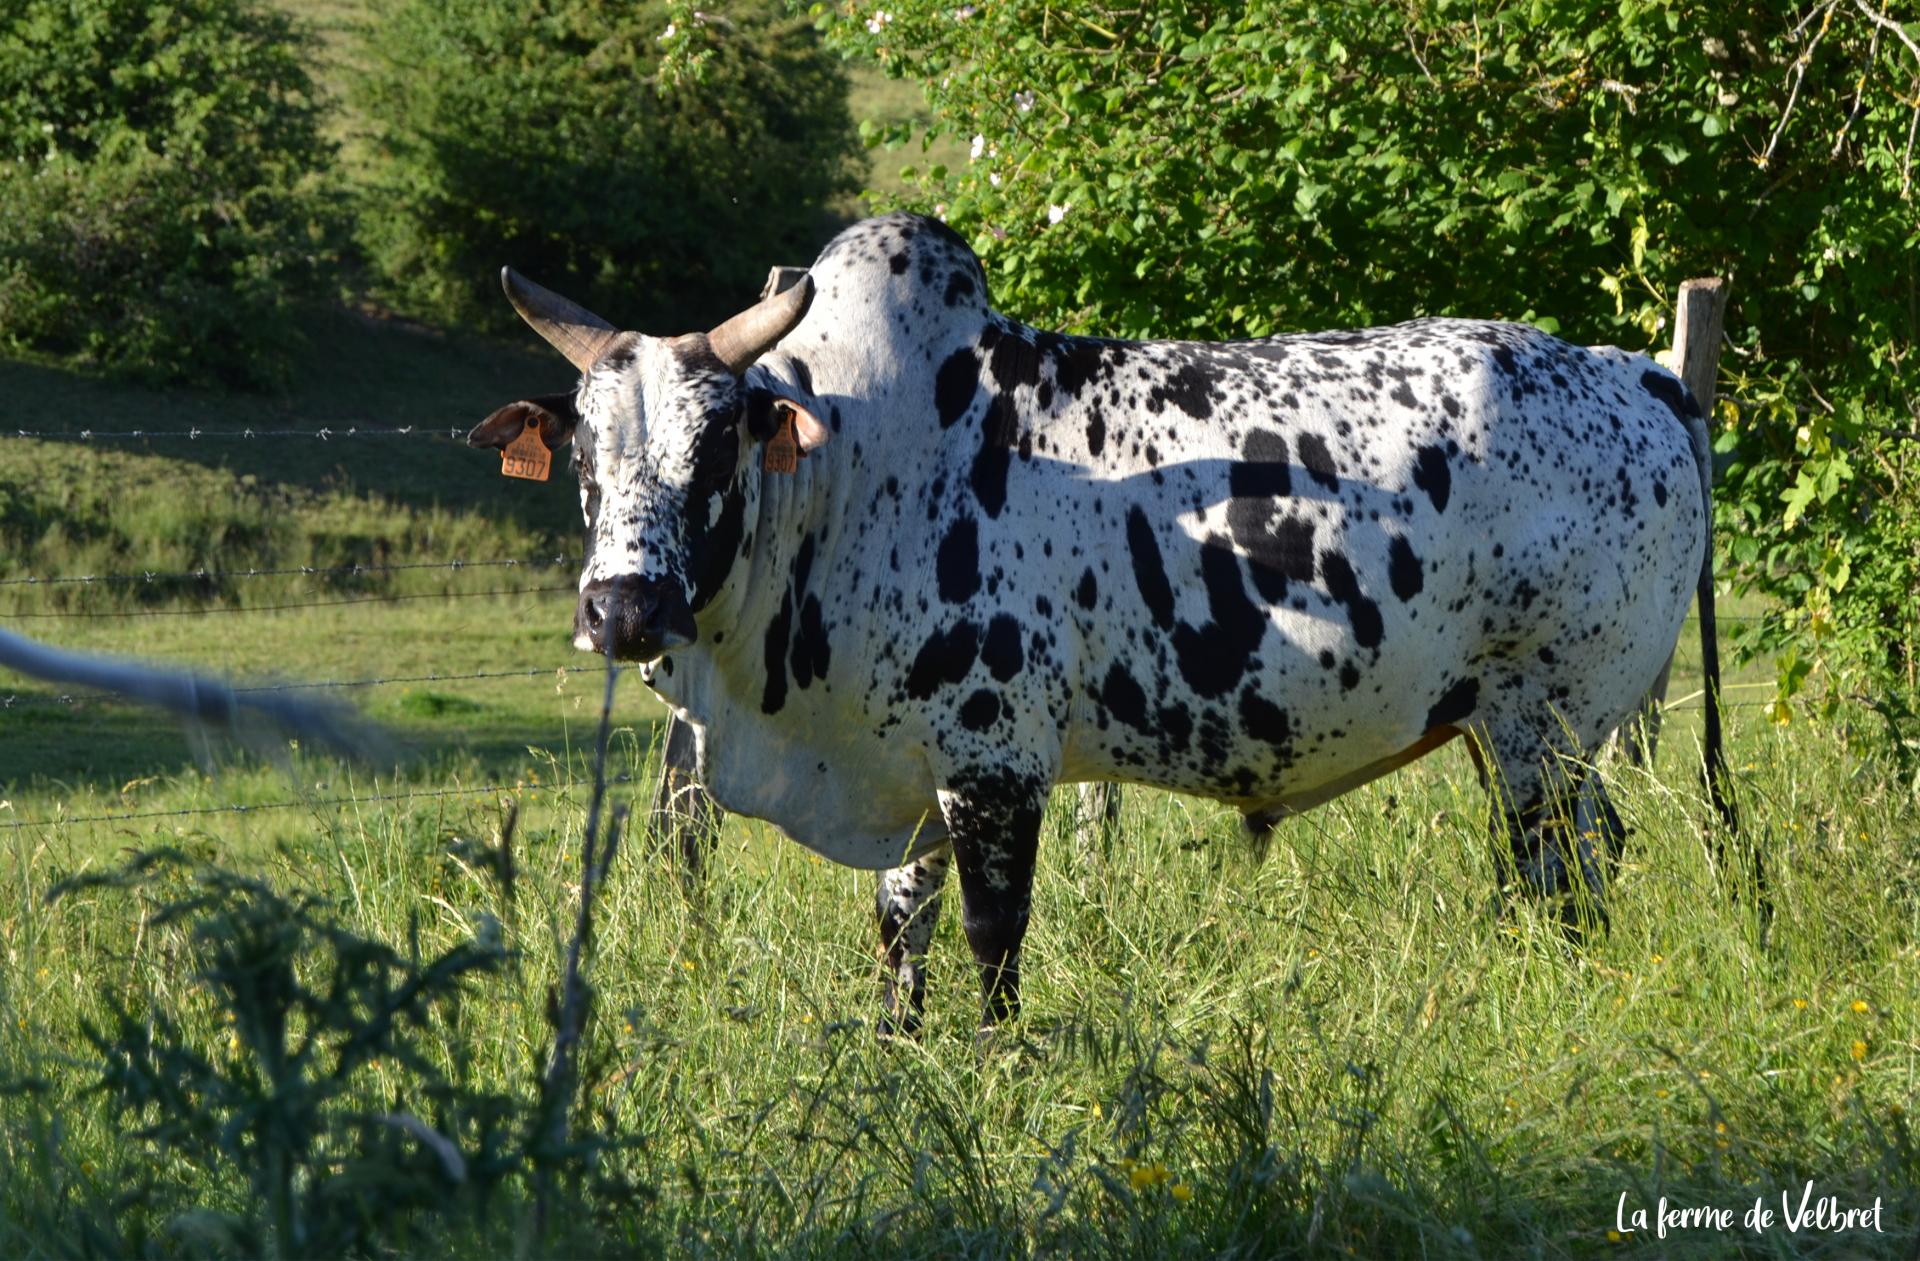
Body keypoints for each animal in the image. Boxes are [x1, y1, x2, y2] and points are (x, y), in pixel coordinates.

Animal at [468, 214, 1743, 1036]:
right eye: (583, 454)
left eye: (718, 445)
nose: (623, 606)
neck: (851, 472)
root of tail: (1634, 371)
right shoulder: (911, 772)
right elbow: (899, 937)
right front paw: (904, 1060)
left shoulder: (996, 762)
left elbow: (993, 942)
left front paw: (993, 1076)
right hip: (1510, 726)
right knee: (1581, 859)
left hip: (1549, 725)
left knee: (1564, 878)